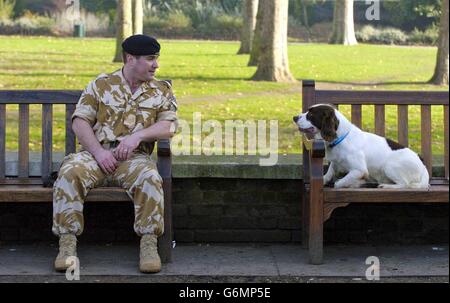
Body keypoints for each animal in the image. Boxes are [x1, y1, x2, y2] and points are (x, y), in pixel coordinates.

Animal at [292, 105, 428, 190]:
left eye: (311, 114)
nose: (294, 117)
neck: (341, 139)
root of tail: (423, 166)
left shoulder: (360, 170)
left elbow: (338, 183)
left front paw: (353, 184)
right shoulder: (336, 162)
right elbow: (329, 172)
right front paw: (325, 179)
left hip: (389, 166)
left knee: (404, 184)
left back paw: (386, 186)